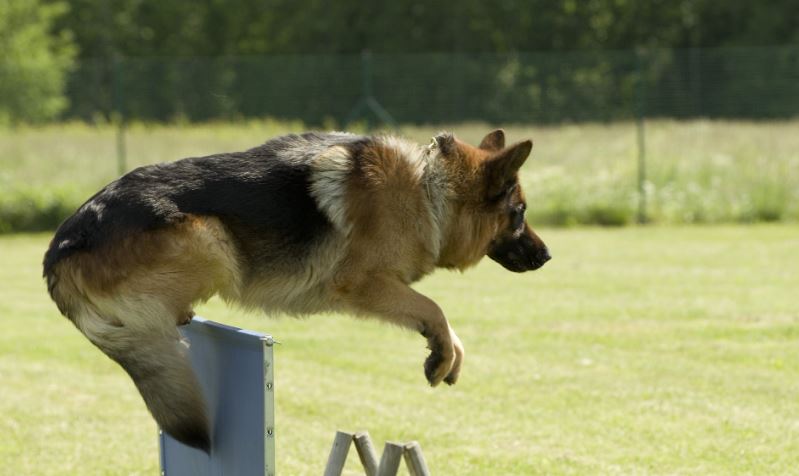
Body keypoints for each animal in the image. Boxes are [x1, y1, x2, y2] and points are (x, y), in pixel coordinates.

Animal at [42, 128, 552, 452]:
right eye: (520, 213)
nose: (547, 257)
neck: (429, 189)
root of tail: (61, 245)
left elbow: (444, 322)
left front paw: (448, 355)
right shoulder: (364, 284)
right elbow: (434, 307)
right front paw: (441, 353)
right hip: (212, 239)